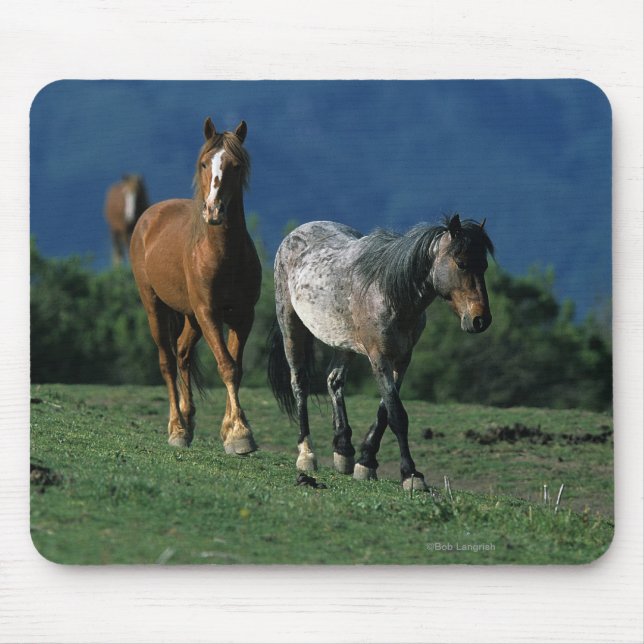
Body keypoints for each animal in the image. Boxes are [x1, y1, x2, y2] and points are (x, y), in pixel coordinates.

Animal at [130, 117, 261, 454]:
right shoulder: (208, 312)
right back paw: (176, 427)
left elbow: (236, 367)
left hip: (190, 317)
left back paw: (188, 422)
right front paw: (240, 434)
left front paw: (231, 430)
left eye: (236, 166)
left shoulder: (243, 315)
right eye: (204, 163)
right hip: (155, 306)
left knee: (182, 353)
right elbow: (226, 365)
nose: (214, 210)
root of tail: (148, 217)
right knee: (166, 360)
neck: (223, 254)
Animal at [268, 214, 494, 490]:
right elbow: (397, 415)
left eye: (484, 265)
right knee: (299, 383)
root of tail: (296, 233)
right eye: (461, 263)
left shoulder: (402, 359)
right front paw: (411, 474)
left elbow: (384, 412)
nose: (480, 320)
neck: (388, 291)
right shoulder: (379, 358)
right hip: (291, 326)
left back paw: (343, 449)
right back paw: (306, 455)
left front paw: (366, 462)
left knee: (334, 380)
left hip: (343, 342)